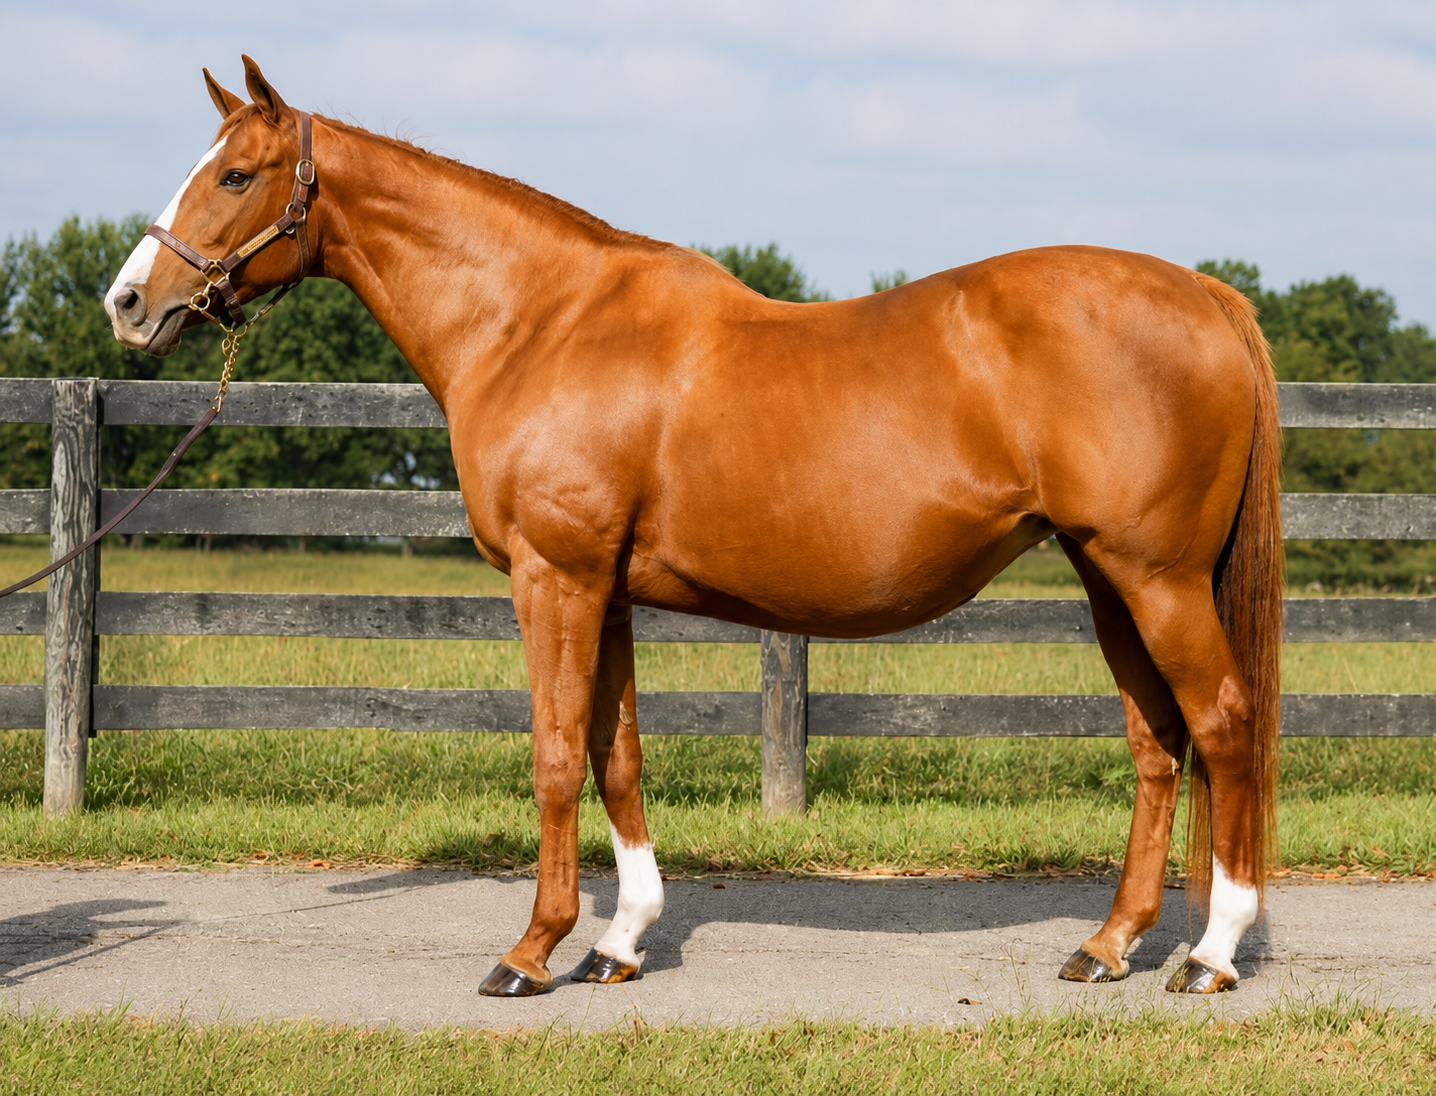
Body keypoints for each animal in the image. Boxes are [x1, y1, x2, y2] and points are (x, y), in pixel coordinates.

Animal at [104, 57, 1282, 997]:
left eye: (235, 176)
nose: (129, 303)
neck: (539, 321)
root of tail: (1208, 296)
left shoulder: (554, 578)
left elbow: (552, 754)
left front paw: (529, 950)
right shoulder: (606, 590)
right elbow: (615, 753)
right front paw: (618, 942)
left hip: (1156, 578)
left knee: (1224, 725)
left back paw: (1211, 953)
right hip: (1106, 578)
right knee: (1158, 741)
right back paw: (1110, 942)